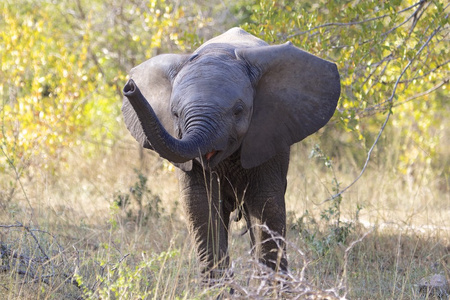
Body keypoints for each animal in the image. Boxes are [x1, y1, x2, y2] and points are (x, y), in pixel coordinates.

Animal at [121, 27, 340, 282]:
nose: (129, 87)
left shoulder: (268, 133)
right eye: (174, 114)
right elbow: (200, 205)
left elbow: (266, 203)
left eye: (238, 111)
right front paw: (217, 288)